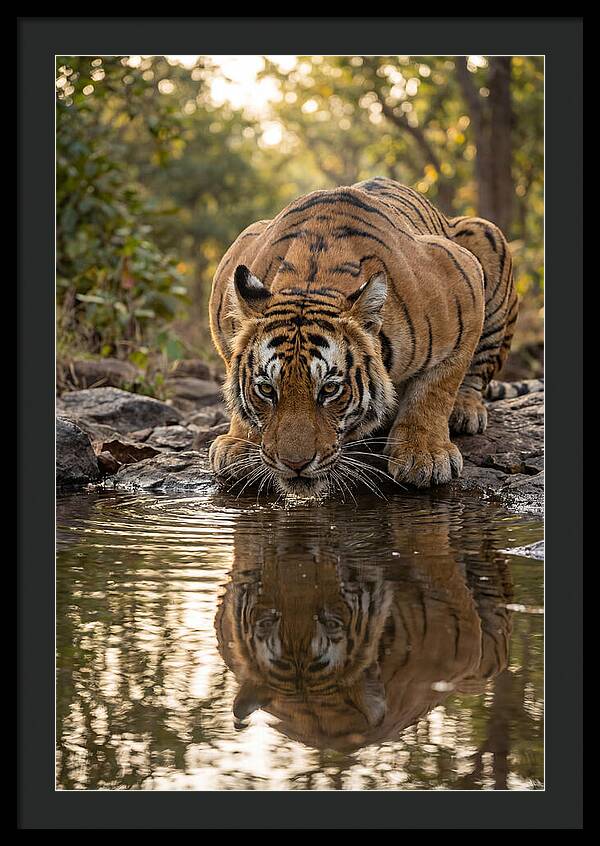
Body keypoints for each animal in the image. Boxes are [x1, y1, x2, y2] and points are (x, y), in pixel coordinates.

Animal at [208, 177, 527, 495]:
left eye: (329, 390)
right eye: (266, 390)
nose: (294, 464)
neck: (311, 281)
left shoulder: (464, 280)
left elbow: (436, 388)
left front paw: (423, 454)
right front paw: (239, 443)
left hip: (486, 234)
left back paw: (465, 411)